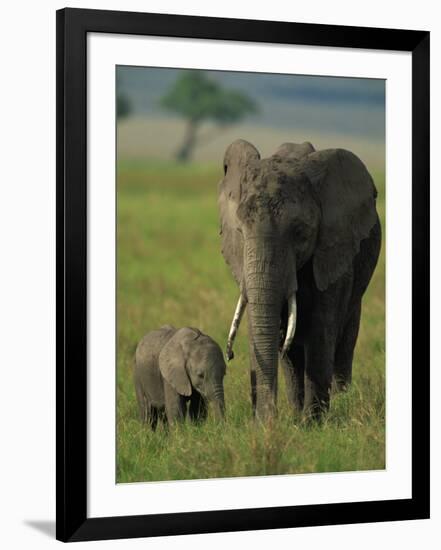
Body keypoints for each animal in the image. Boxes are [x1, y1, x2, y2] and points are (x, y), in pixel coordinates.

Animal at [218, 139, 380, 422]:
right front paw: (283, 424)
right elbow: (270, 330)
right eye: (240, 231)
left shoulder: (333, 252)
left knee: (345, 338)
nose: (230, 355)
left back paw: (342, 400)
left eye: (300, 232)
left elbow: (321, 329)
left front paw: (314, 423)